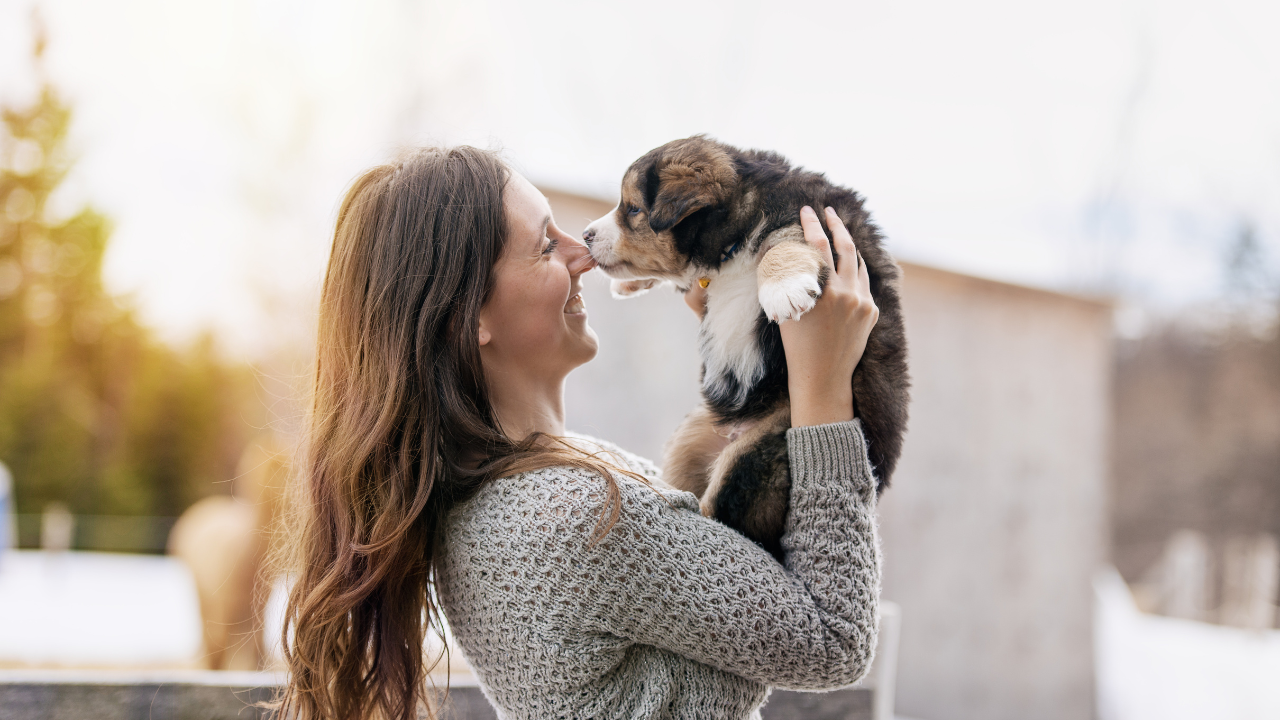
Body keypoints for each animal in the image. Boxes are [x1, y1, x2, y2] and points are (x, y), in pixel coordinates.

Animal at [586, 137, 906, 558]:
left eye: (634, 209)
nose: (586, 235)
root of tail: (732, 433)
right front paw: (626, 284)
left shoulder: (818, 224)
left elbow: (783, 241)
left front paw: (784, 289)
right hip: (691, 436)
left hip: (765, 446)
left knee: (729, 518)